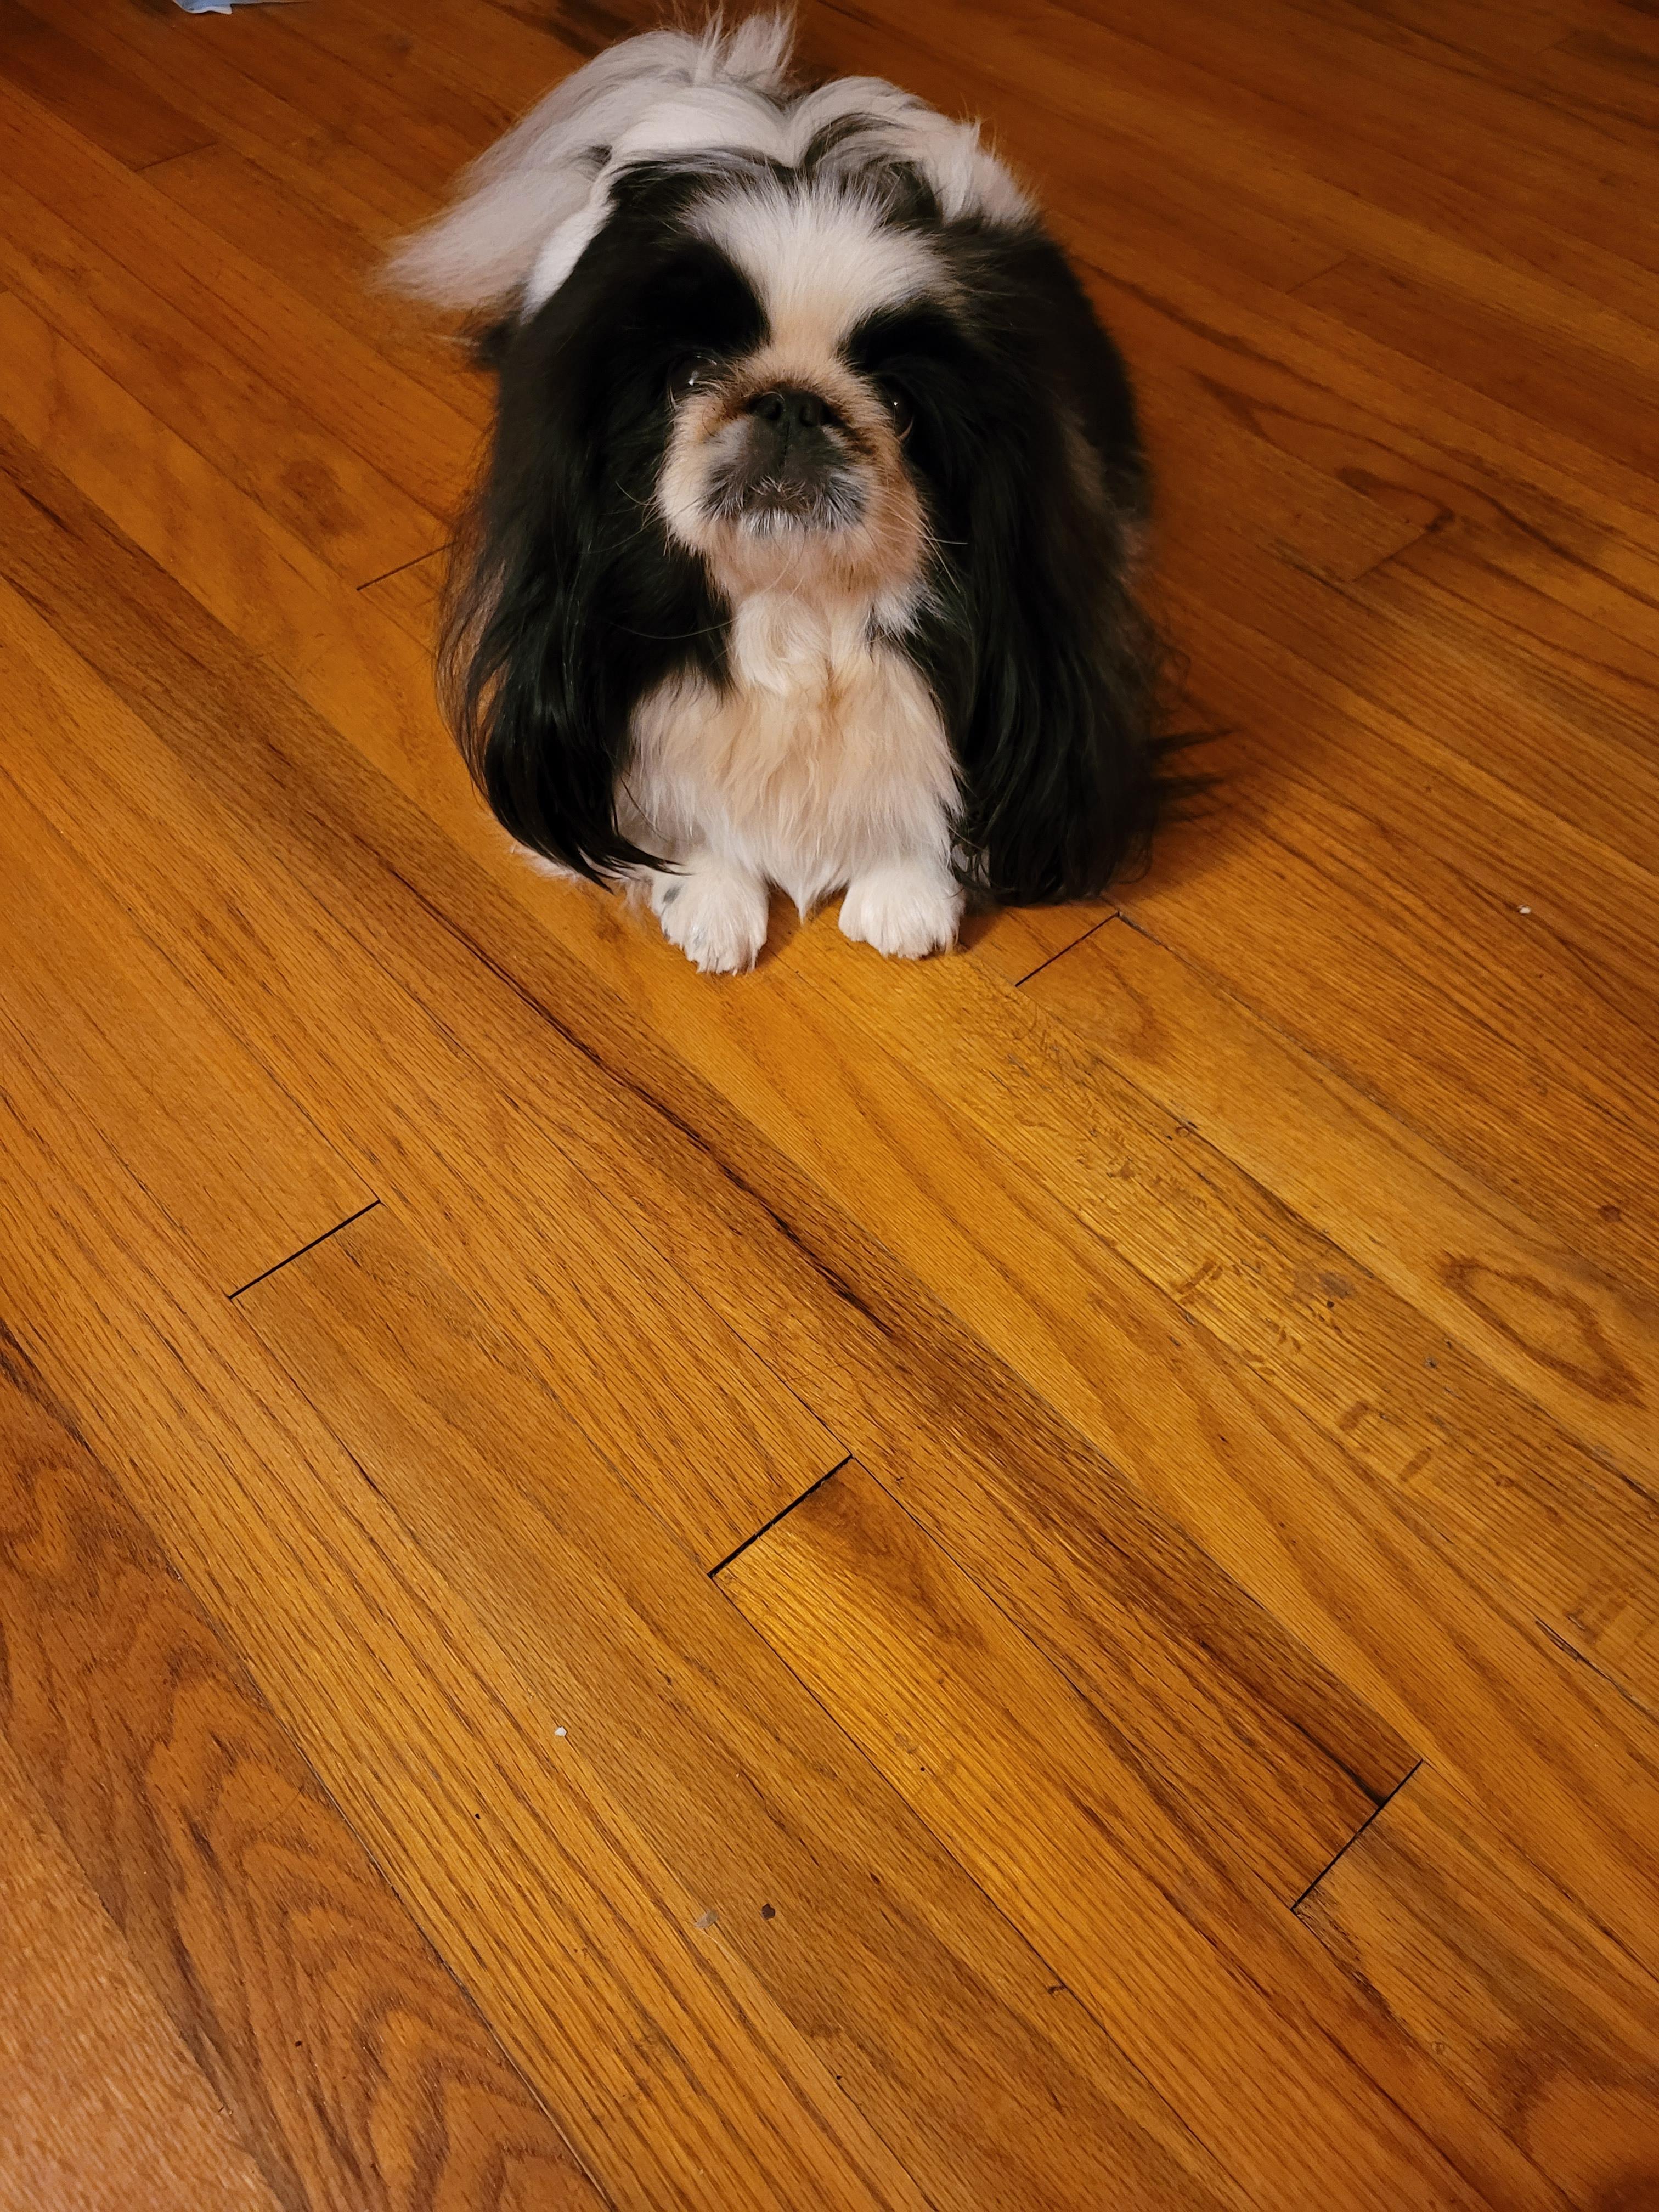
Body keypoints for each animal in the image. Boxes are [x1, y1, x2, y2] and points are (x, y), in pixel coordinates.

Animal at [391, 16, 1164, 971]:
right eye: (689, 378)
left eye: (900, 406)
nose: (793, 401)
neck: (798, 609)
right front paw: (709, 894)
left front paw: (904, 892)